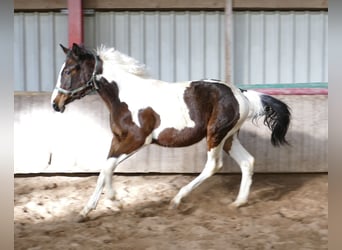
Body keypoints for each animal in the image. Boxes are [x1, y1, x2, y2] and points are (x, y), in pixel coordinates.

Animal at [51, 43, 292, 223]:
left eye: (68, 70)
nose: (55, 104)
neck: (124, 96)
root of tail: (241, 93)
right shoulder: (118, 140)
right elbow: (103, 170)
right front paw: (84, 212)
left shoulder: (137, 140)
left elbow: (108, 168)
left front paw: (116, 202)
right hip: (229, 137)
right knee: (247, 161)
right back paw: (238, 202)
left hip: (215, 134)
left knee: (214, 165)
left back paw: (176, 200)